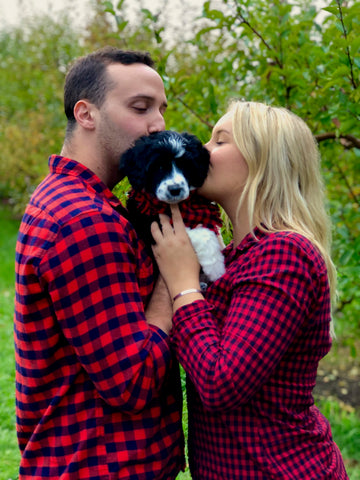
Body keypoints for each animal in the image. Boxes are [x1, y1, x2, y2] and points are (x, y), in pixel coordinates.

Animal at [119, 129, 225, 284]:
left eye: (185, 166)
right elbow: (198, 232)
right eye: (159, 167)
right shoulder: (150, 222)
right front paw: (216, 267)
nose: (175, 189)